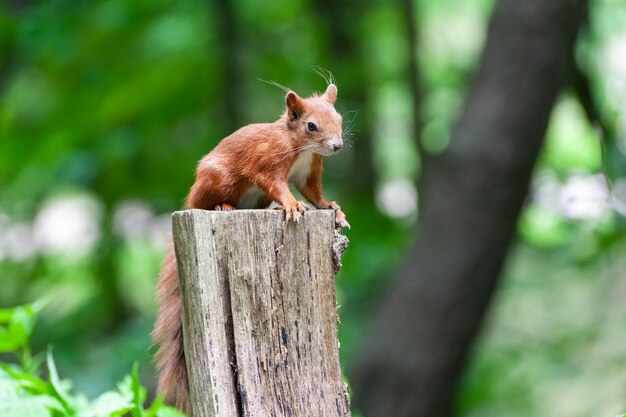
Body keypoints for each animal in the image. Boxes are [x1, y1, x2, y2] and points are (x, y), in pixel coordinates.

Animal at [149, 83, 348, 412]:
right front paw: (292, 205)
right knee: (210, 201)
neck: (301, 149)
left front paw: (332, 208)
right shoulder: (267, 163)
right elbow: (277, 185)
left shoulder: (309, 172)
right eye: (311, 126)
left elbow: (314, 193)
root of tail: (189, 203)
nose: (337, 146)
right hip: (219, 179)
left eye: (339, 118)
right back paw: (223, 206)